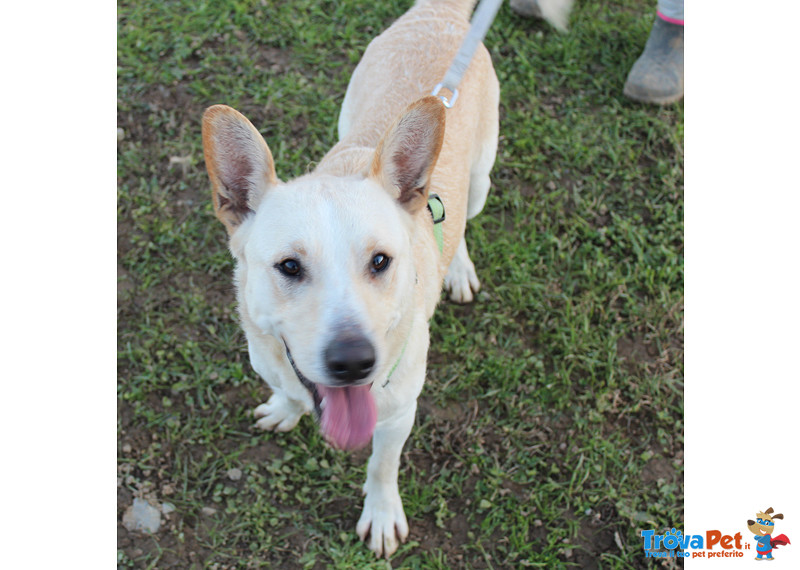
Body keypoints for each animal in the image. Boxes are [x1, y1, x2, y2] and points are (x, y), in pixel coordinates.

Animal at [202, 0, 494, 556]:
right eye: (289, 266)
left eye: (380, 261)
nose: (354, 362)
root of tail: (441, 10)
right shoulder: (270, 363)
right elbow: (288, 391)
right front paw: (285, 409)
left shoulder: (399, 414)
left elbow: (382, 464)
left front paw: (380, 514)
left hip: (480, 178)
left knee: (467, 218)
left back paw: (460, 267)